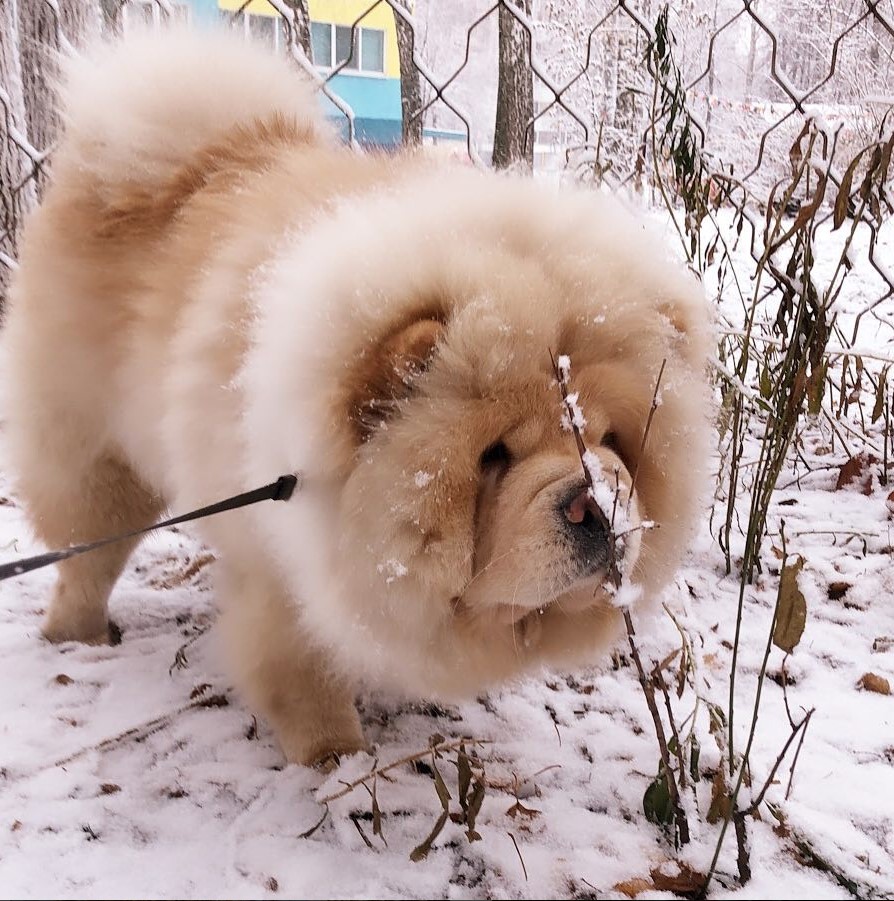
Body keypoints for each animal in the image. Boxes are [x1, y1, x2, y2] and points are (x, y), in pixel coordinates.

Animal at [1, 29, 712, 768]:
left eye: (609, 440)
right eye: (493, 455)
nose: (596, 503)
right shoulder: (285, 578)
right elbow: (301, 670)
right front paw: (334, 755)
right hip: (93, 451)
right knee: (87, 551)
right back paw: (79, 634)